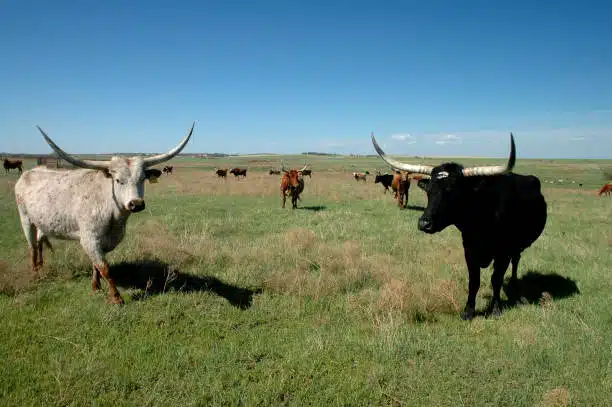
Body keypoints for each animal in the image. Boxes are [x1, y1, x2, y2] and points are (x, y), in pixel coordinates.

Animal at [14, 122, 195, 304]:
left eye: (142, 179)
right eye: (118, 180)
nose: (136, 204)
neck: (113, 215)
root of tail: (28, 173)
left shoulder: (104, 241)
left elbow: (96, 266)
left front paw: (96, 287)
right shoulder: (90, 239)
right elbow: (105, 268)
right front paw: (116, 298)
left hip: (41, 222)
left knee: (39, 242)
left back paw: (41, 266)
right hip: (25, 219)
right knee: (32, 246)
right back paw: (36, 274)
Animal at [370, 132, 548, 320]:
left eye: (451, 191)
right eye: (428, 190)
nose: (424, 223)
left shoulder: (503, 253)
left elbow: (496, 279)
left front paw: (496, 309)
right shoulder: (469, 250)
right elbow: (474, 281)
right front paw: (468, 311)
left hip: (516, 247)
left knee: (516, 261)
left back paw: (514, 283)